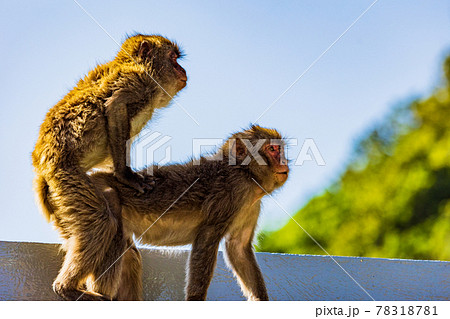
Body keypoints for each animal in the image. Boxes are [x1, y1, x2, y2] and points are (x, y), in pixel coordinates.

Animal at [31, 33, 186, 302]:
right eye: (173, 58)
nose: (183, 69)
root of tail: (41, 168)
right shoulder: (135, 82)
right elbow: (114, 109)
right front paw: (127, 176)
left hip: (59, 201)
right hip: (64, 176)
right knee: (101, 222)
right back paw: (66, 288)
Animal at [88, 125, 288, 302]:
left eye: (280, 149)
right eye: (271, 149)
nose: (284, 162)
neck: (246, 174)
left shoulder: (252, 205)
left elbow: (238, 248)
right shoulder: (232, 193)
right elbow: (206, 241)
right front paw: (195, 299)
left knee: (130, 256)